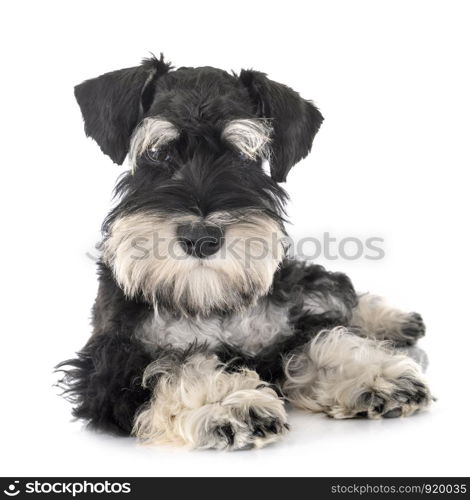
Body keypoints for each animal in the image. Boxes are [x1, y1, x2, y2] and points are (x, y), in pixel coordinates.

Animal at [57, 53, 432, 450]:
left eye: (242, 157)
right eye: (158, 154)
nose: (201, 237)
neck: (207, 302)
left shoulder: (279, 333)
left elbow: (315, 339)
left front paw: (375, 373)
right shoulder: (109, 365)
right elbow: (172, 366)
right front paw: (228, 402)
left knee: (329, 290)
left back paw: (394, 320)